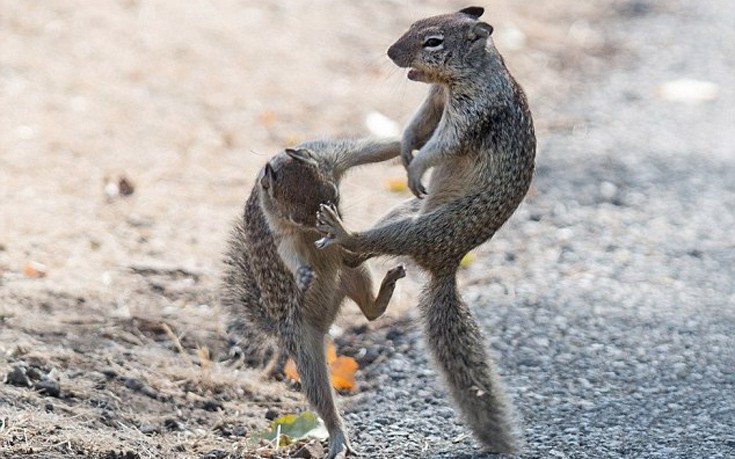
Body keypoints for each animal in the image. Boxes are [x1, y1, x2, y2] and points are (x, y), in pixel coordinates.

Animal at [221, 138, 412, 458]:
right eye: (297, 217)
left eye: (335, 196)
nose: (327, 228)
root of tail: (325, 321)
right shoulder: (279, 230)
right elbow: (289, 253)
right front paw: (302, 274)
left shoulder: (330, 156)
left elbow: (374, 149)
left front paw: (410, 140)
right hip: (302, 343)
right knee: (320, 393)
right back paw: (337, 437)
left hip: (352, 271)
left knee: (369, 308)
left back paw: (383, 288)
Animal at [314, 7, 536, 456]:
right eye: (413, 23)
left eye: (433, 41)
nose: (390, 52)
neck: (463, 78)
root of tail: (446, 263)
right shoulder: (434, 101)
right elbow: (419, 125)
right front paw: (403, 149)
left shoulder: (471, 114)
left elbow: (441, 145)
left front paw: (416, 166)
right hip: (403, 210)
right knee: (373, 247)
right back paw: (348, 254)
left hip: (423, 227)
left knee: (378, 241)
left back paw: (344, 234)